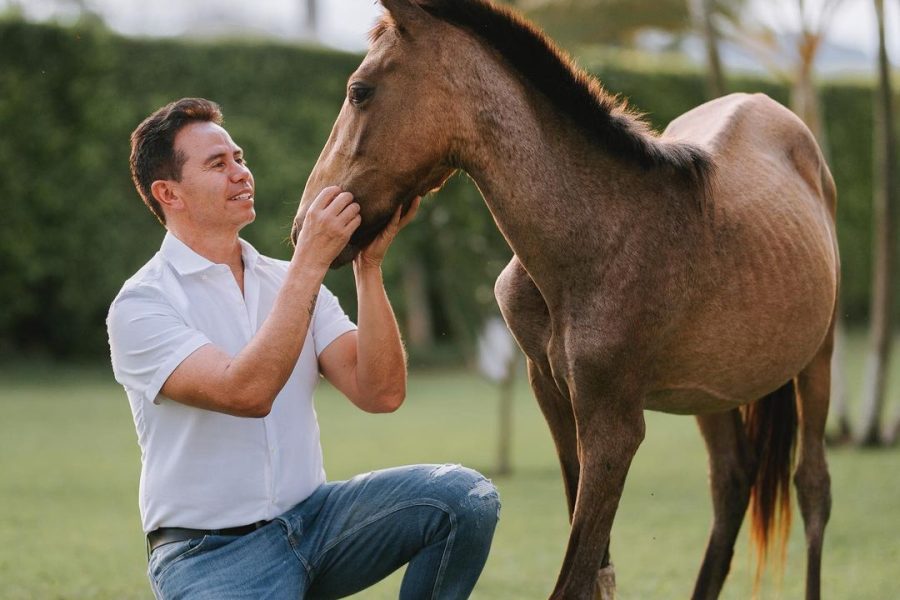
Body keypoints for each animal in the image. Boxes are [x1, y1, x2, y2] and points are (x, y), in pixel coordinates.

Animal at [292, 0, 840, 596]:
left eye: (359, 91)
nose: (302, 228)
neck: (598, 236)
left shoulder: (614, 429)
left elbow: (576, 576)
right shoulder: (554, 395)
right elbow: (597, 570)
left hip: (817, 359)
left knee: (812, 489)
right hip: (711, 391)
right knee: (732, 483)